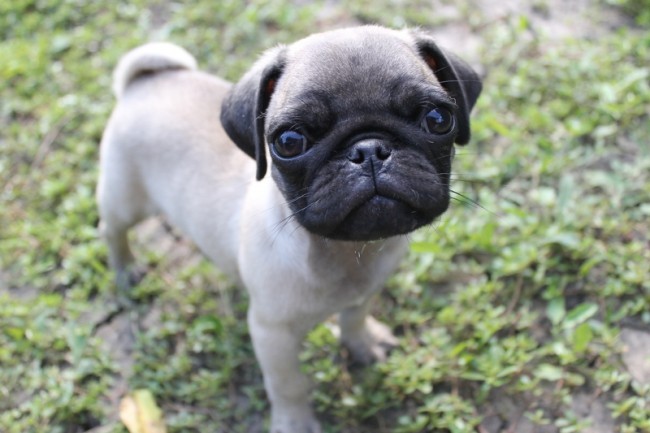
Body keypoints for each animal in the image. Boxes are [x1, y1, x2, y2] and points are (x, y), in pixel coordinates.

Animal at [97, 25, 480, 430]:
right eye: (289, 142)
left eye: (438, 119)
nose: (369, 149)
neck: (343, 253)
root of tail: (144, 82)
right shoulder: (272, 335)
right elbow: (289, 385)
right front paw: (295, 422)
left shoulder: (365, 292)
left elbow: (354, 320)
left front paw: (364, 343)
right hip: (126, 198)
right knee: (112, 229)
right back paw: (126, 269)